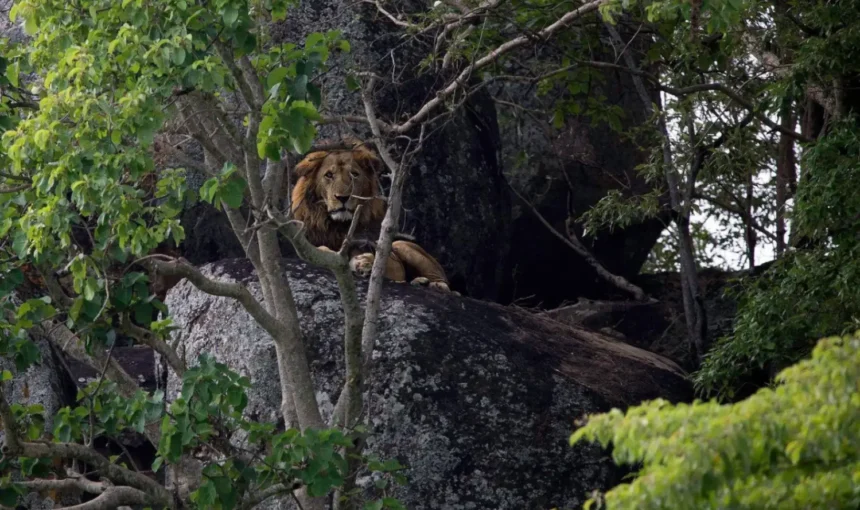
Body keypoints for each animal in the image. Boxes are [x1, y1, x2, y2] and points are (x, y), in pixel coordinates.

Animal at [290, 139, 452, 292]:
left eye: (354, 175)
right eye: (329, 175)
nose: (343, 197)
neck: (337, 226)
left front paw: (363, 262)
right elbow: (323, 250)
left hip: (404, 247)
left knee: (447, 286)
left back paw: (433, 284)